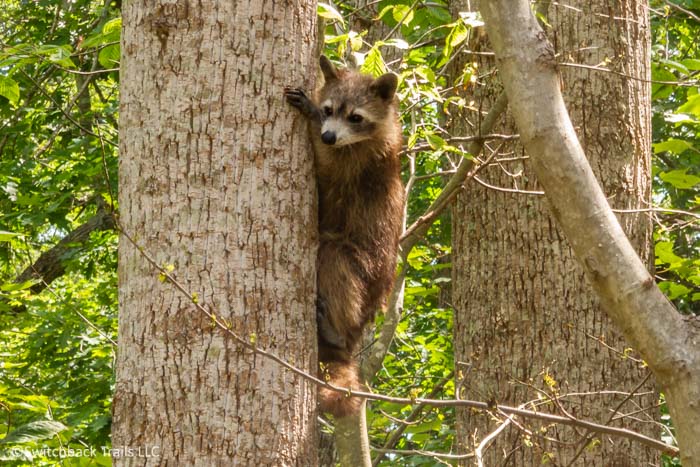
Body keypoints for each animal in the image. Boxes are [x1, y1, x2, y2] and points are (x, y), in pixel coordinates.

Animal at [284, 56, 404, 418]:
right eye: (330, 109)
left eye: (355, 117)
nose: (327, 135)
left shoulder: (361, 160)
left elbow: (326, 169)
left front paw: (309, 115)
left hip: (365, 268)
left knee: (333, 257)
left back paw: (335, 332)